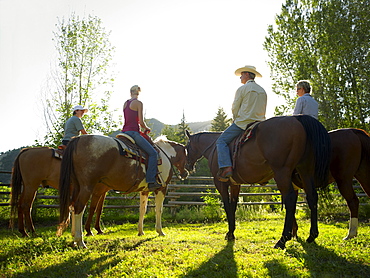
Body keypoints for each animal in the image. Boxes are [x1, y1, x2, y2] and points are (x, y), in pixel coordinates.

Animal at [59, 135, 189, 248]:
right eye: (186, 154)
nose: (186, 173)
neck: (164, 155)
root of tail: (78, 139)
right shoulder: (161, 188)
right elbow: (159, 209)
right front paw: (160, 231)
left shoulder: (144, 190)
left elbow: (142, 210)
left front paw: (140, 231)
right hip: (87, 187)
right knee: (79, 208)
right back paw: (80, 241)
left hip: (76, 186)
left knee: (72, 207)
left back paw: (74, 239)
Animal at [185, 115, 330, 250]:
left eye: (186, 147)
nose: (188, 166)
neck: (214, 148)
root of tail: (296, 119)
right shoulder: (235, 184)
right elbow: (233, 206)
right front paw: (231, 232)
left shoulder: (220, 183)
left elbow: (227, 206)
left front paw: (230, 234)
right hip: (305, 170)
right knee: (312, 196)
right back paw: (312, 235)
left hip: (282, 172)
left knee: (290, 199)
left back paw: (282, 239)